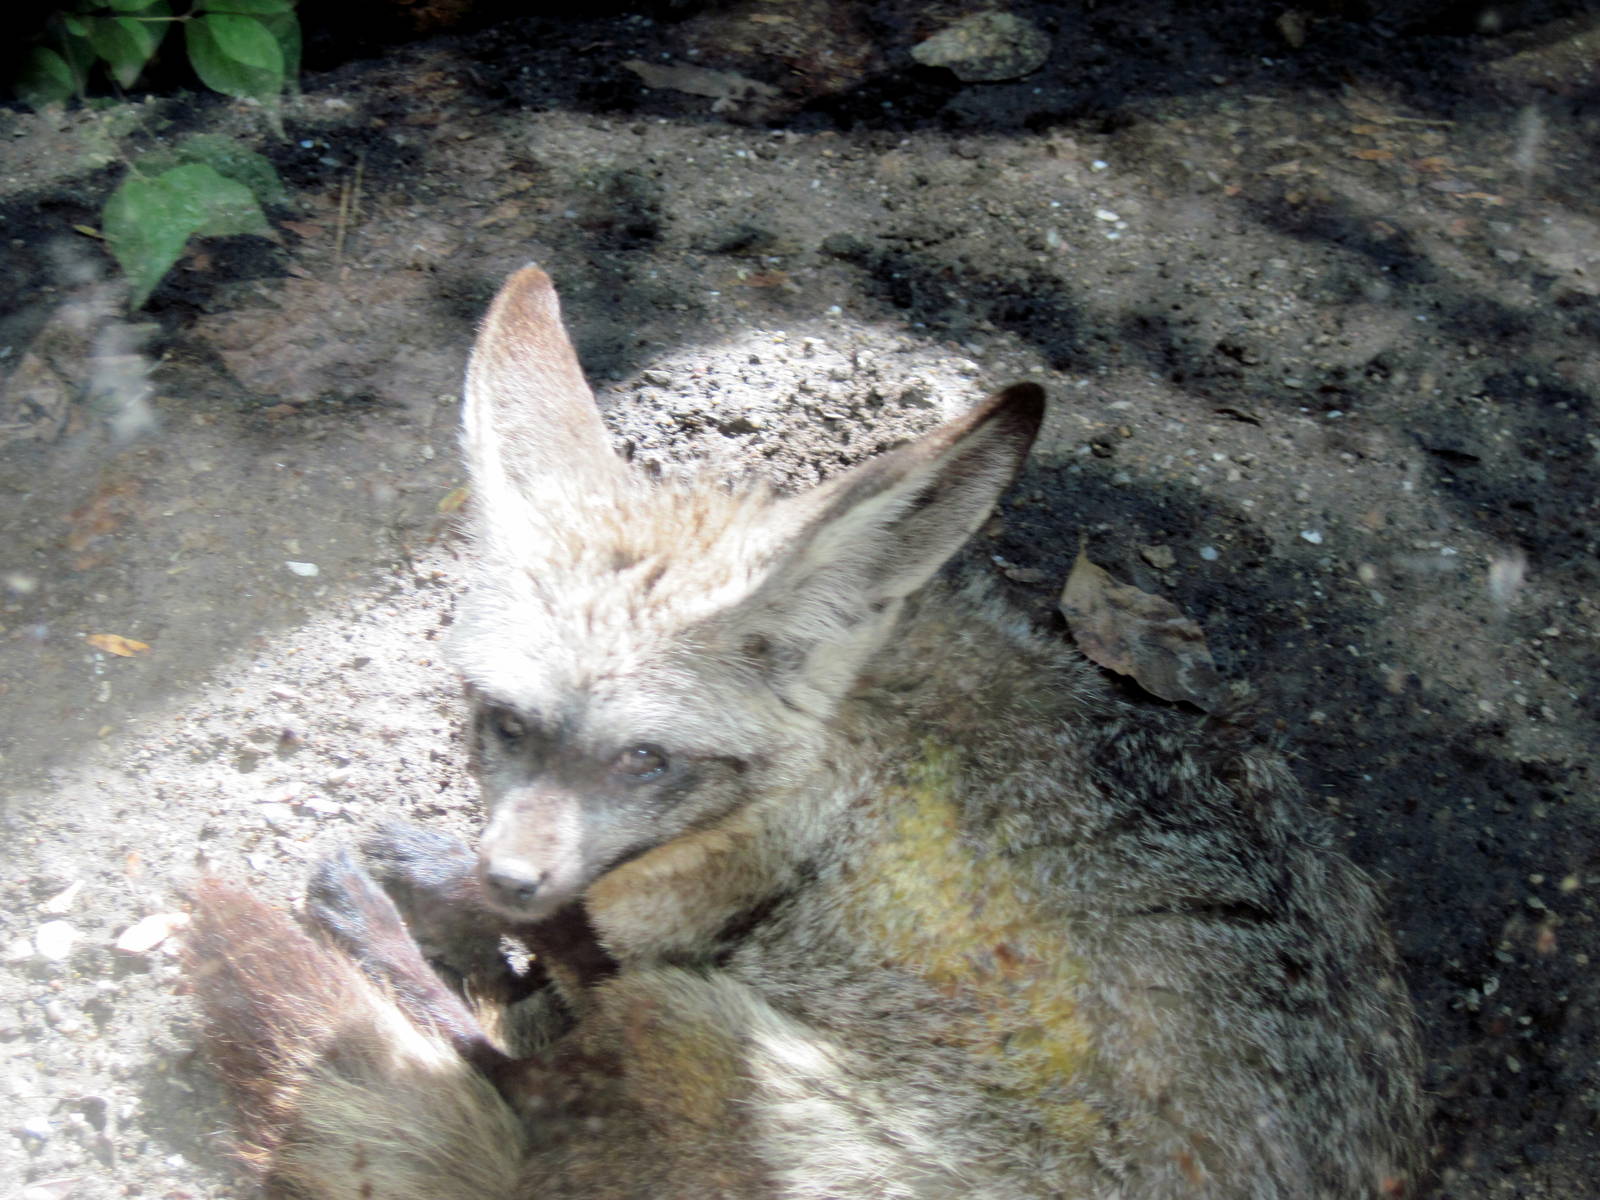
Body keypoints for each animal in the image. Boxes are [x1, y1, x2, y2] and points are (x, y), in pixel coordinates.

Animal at [184, 266, 1424, 1199]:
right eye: (504, 724)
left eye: (646, 758)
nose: (511, 873)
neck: (844, 752)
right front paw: (456, 884)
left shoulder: (665, 926)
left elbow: (564, 953)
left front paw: (434, 896)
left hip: (687, 1034)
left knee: (510, 1089)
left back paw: (390, 945)